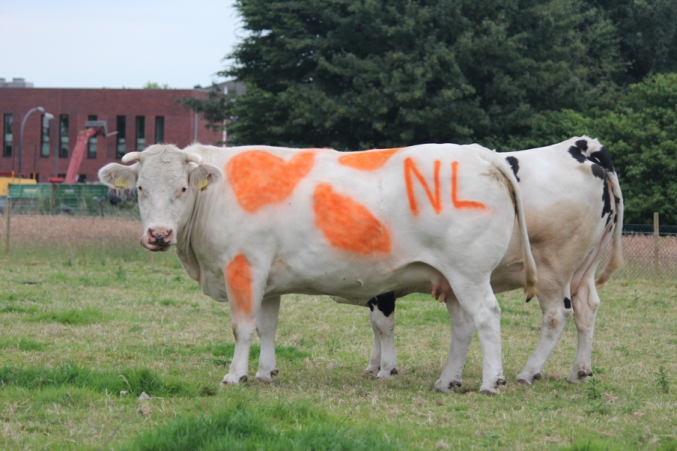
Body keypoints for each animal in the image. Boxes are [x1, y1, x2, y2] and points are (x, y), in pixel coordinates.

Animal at [99, 142, 537, 395]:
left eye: (183, 188)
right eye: (140, 188)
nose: (158, 234)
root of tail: (478, 152)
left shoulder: (243, 267)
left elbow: (242, 327)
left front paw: (235, 375)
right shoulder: (268, 280)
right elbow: (267, 327)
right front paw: (265, 372)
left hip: (470, 274)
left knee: (486, 317)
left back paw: (491, 381)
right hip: (451, 278)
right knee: (462, 326)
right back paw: (446, 380)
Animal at [361, 136, 624, 389]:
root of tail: (577, 146)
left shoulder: (382, 285)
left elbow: (381, 324)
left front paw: (385, 369)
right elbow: (374, 326)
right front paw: (373, 365)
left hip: (553, 267)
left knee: (556, 314)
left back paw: (528, 373)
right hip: (584, 268)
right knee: (587, 307)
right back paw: (579, 372)